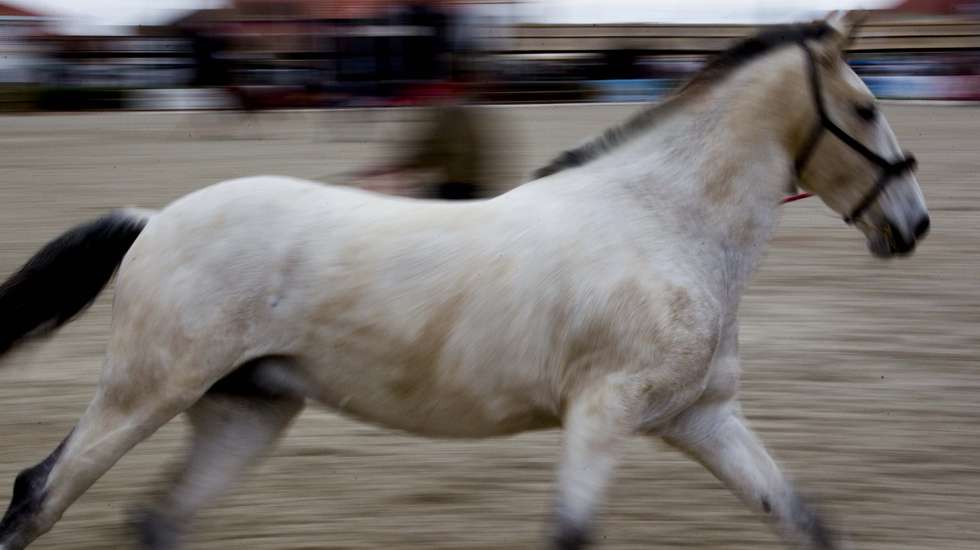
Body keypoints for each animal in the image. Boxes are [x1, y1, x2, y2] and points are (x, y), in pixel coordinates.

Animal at [0, 13, 929, 550]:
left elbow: (803, 520)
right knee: (38, 494)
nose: (913, 225)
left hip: (244, 412)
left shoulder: (700, 418)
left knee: (156, 522)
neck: (665, 225)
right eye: (867, 107)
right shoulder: (605, 413)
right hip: (143, 392)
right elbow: (570, 536)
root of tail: (156, 219)